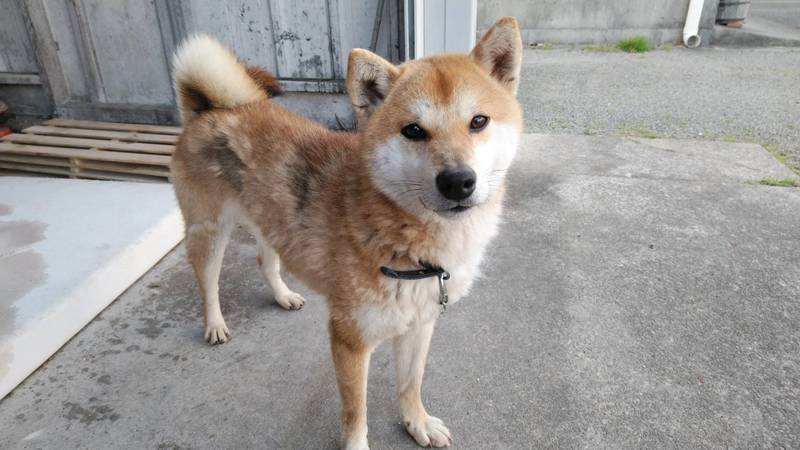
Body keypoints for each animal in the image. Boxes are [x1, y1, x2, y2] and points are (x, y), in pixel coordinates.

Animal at [170, 16, 523, 449]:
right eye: (413, 131)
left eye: (478, 122)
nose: (458, 182)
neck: (402, 238)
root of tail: (210, 110)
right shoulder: (350, 339)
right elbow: (356, 413)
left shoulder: (420, 324)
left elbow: (411, 383)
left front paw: (417, 422)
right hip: (210, 231)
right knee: (208, 283)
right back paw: (215, 324)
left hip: (270, 219)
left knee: (265, 260)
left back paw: (283, 295)